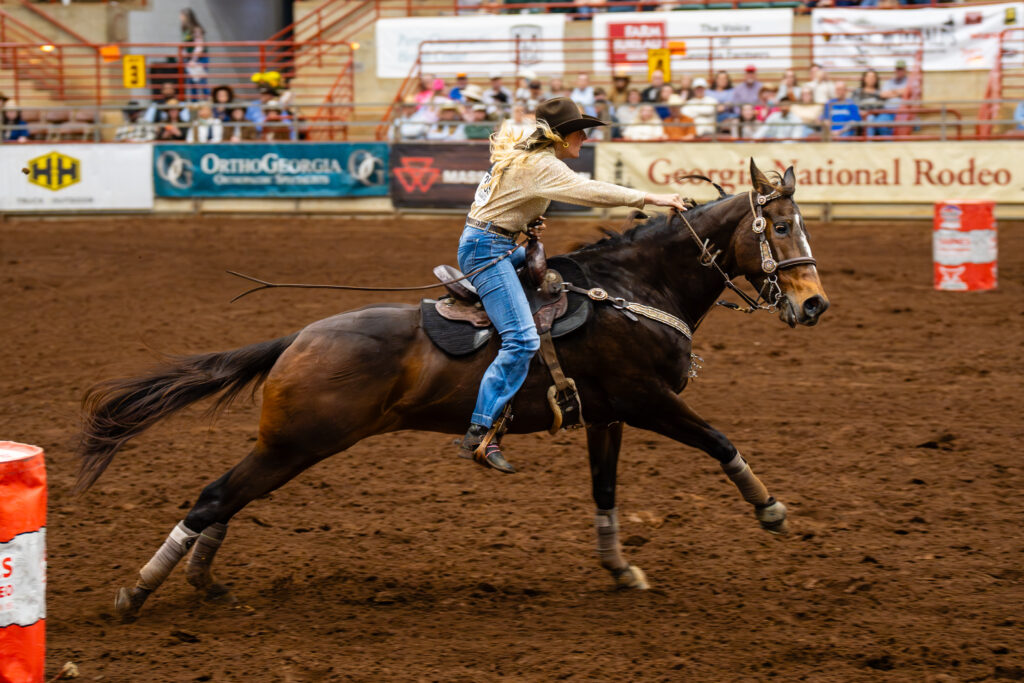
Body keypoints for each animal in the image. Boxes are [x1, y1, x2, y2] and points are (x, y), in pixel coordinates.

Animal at [76, 160, 829, 621]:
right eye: (780, 225)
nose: (816, 305)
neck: (631, 290)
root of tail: (295, 340)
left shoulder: (607, 416)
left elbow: (605, 493)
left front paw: (621, 570)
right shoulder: (647, 400)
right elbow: (720, 440)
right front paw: (771, 509)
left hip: (290, 446)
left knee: (227, 498)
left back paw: (202, 580)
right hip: (298, 442)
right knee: (212, 497)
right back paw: (137, 593)